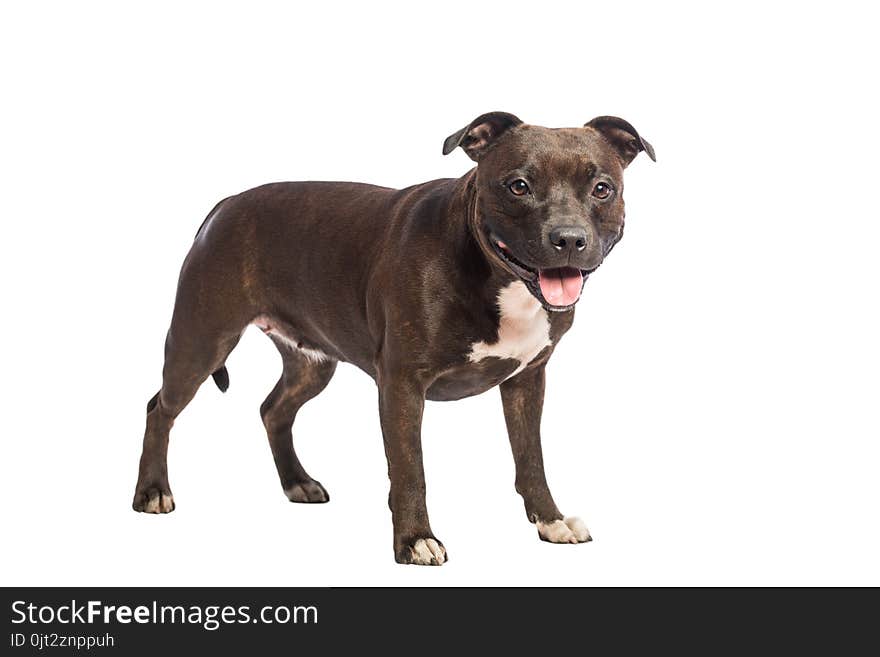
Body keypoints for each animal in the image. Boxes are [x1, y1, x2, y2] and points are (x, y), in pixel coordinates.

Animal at [131, 113, 652, 564]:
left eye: (602, 189)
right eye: (518, 186)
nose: (569, 238)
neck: (496, 276)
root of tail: (226, 204)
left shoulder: (527, 382)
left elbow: (532, 458)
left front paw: (550, 520)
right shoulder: (402, 386)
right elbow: (409, 469)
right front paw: (415, 540)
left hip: (311, 362)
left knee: (273, 409)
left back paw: (297, 482)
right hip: (200, 341)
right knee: (161, 409)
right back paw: (153, 491)